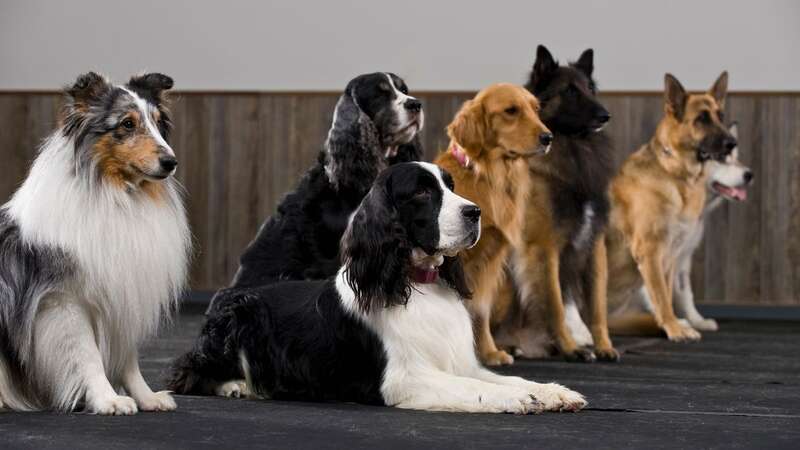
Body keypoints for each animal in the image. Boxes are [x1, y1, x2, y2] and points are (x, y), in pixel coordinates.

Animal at [0, 72, 190, 414]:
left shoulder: (123, 292)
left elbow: (129, 359)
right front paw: (108, 399)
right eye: (127, 124)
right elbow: (87, 354)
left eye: (158, 122)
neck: (118, 195)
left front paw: (147, 397)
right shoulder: (63, 301)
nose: (171, 162)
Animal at [169, 163, 584, 414]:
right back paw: (236, 386)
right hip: (241, 316)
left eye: (450, 186)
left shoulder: (459, 362)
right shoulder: (402, 378)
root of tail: (225, 297)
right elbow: (473, 388)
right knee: (187, 371)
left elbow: (497, 377)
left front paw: (552, 391)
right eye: (421, 193)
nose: (474, 212)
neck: (416, 282)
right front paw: (520, 397)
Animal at [434, 83, 552, 366]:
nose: (548, 137)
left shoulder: (490, 261)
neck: (490, 175)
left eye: (535, 109)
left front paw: (489, 352)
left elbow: (480, 310)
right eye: (511, 111)